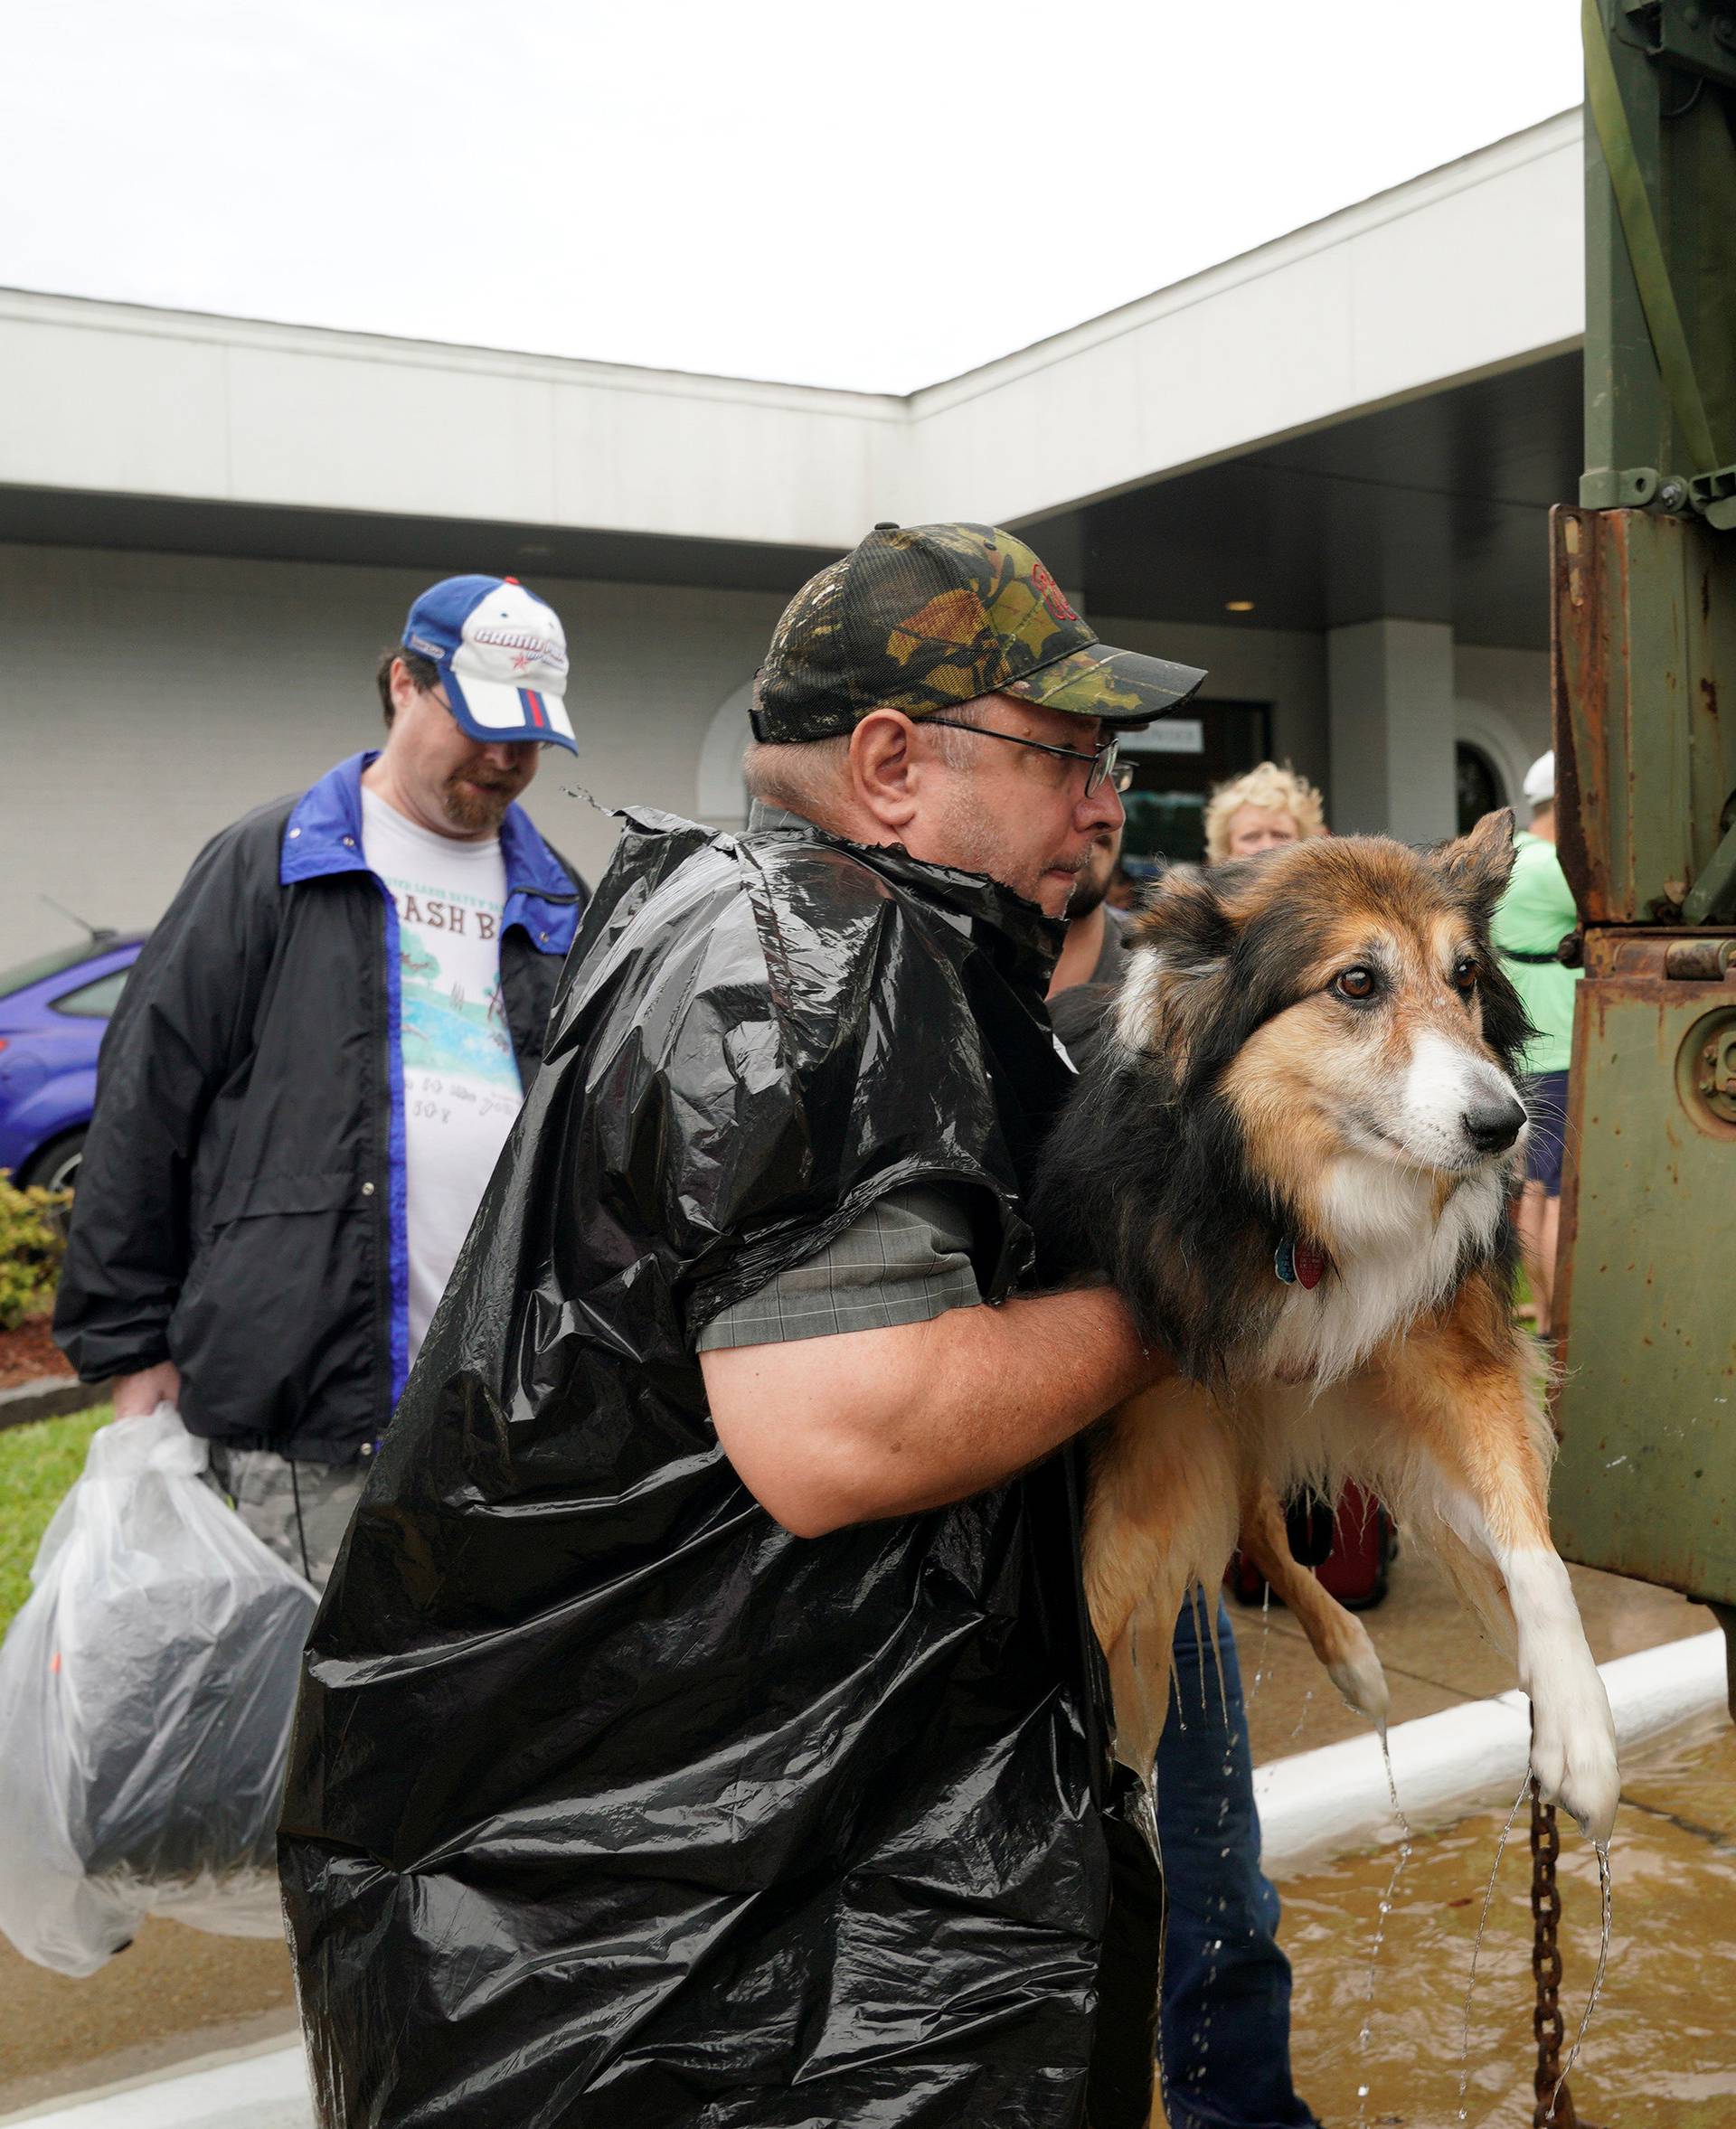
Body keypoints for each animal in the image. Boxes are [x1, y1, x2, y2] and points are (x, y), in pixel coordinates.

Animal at [1031, 813, 1618, 1848]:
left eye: (1466, 974)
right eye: (1356, 983)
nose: (1504, 1125)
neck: (1296, 1206)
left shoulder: (1450, 1359)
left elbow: (1534, 1550)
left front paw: (1577, 1729)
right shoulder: (1154, 1435)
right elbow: (1101, 1623)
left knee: (1259, 1512)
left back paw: (1354, 1659)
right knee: (1248, 1514)